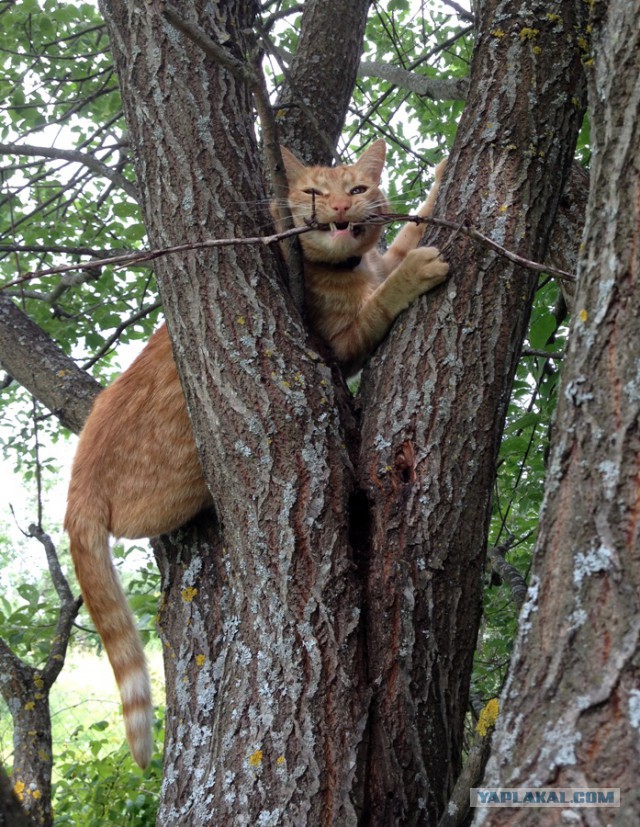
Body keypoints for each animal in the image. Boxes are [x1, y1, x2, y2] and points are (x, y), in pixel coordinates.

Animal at [63, 141, 444, 768]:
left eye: (357, 190)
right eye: (313, 192)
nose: (340, 207)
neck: (349, 267)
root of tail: (76, 489)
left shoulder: (378, 258)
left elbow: (407, 234)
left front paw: (435, 186)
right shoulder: (340, 346)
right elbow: (385, 296)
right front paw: (416, 272)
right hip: (180, 486)